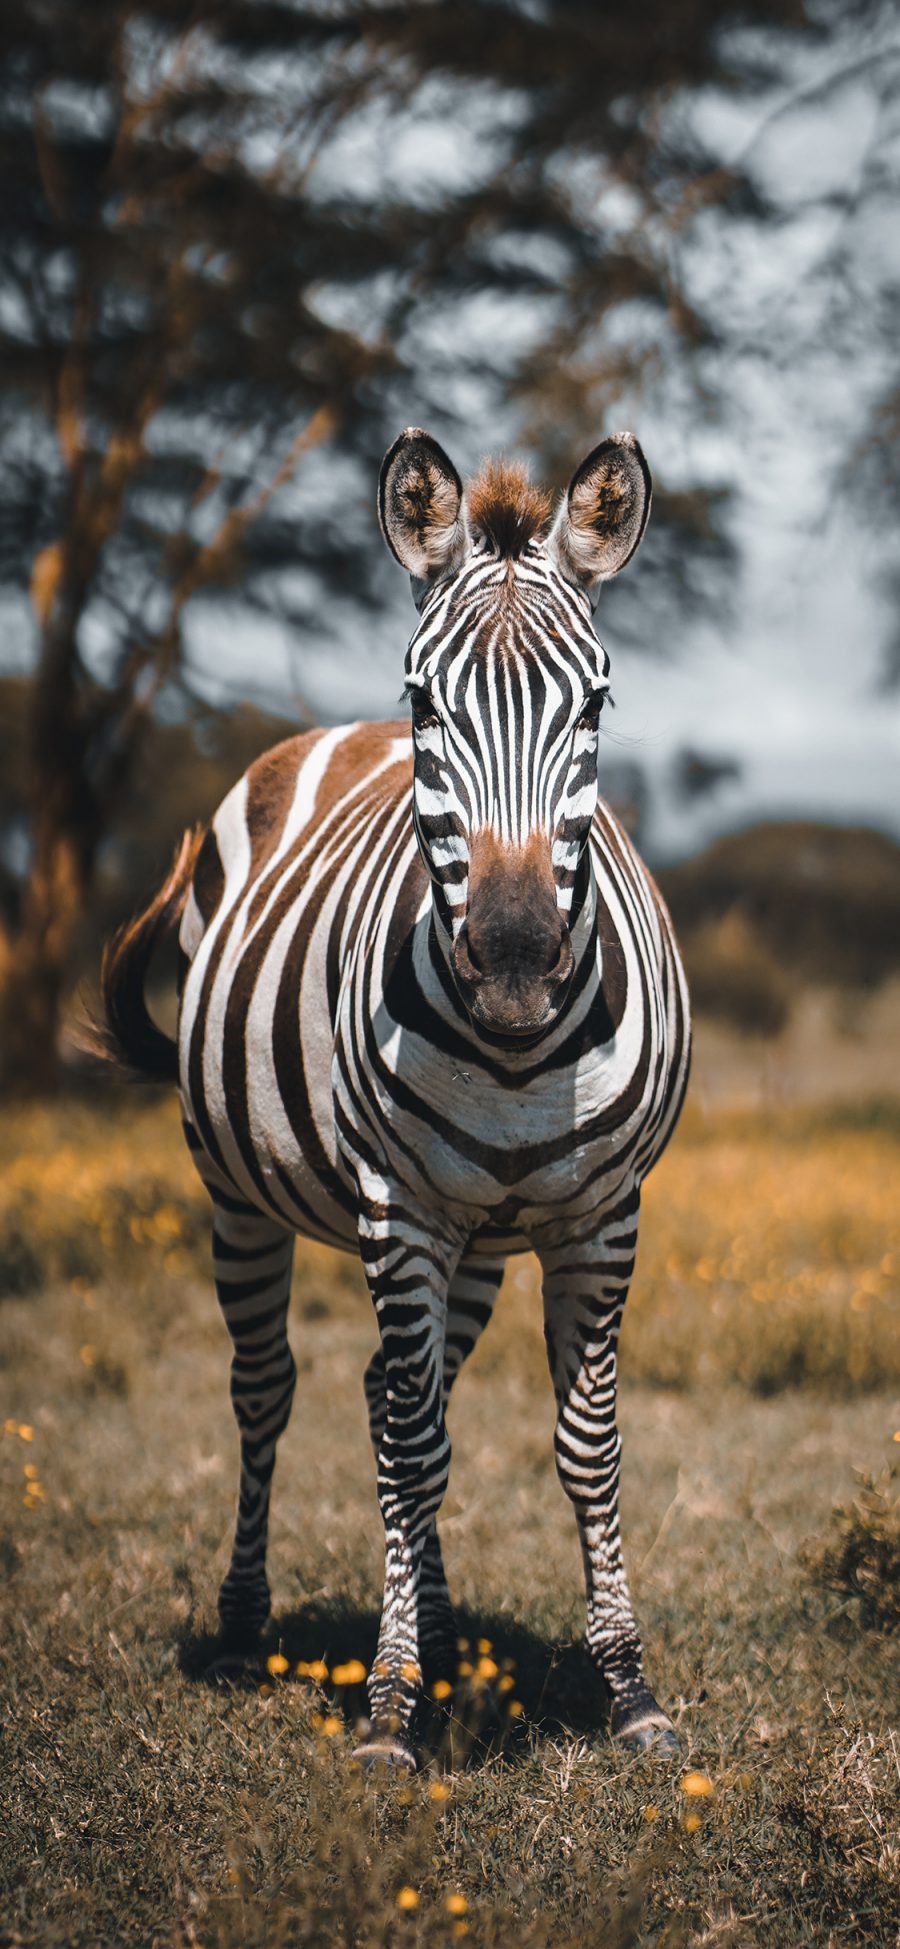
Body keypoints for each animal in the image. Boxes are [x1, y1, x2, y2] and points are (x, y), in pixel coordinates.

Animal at [103, 426, 689, 1769]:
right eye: (429, 703)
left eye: (597, 702)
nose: (518, 962)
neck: (521, 1053)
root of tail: (319, 734)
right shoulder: (397, 1210)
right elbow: (414, 1447)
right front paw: (388, 1706)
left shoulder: (603, 1216)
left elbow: (585, 1448)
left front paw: (628, 1687)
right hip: (240, 1192)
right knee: (275, 1388)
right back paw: (249, 1623)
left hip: (479, 1235)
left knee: (391, 1396)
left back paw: (440, 1615)